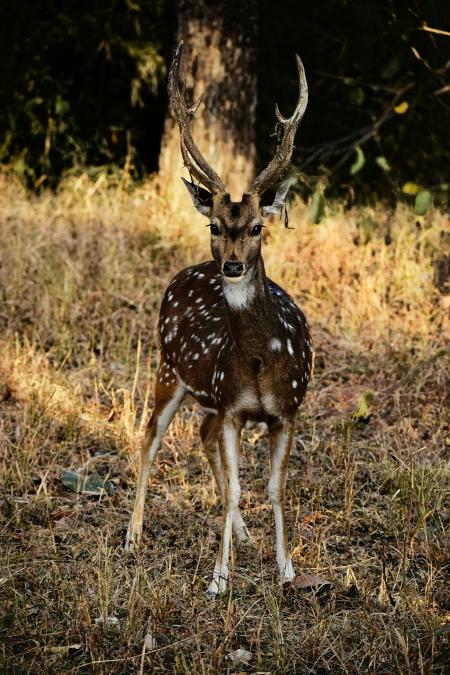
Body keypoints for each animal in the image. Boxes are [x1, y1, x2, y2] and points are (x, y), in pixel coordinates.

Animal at [126, 41, 313, 597]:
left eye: (256, 227)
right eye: (213, 224)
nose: (230, 265)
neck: (260, 363)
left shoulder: (285, 411)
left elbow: (272, 489)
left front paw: (286, 569)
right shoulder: (233, 406)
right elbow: (233, 490)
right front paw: (218, 578)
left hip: (204, 393)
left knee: (200, 435)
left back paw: (246, 534)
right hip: (168, 367)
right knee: (150, 439)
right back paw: (132, 535)